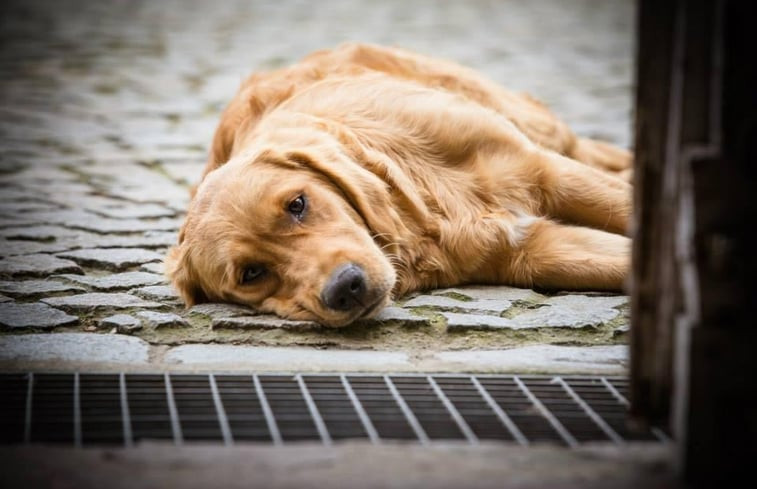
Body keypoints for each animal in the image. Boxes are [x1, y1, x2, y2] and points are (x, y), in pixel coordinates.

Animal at [167, 42, 632, 326]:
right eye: (251, 274)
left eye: (297, 204)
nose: (346, 288)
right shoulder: (531, 252)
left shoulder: (543, 170)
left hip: (542, 132)